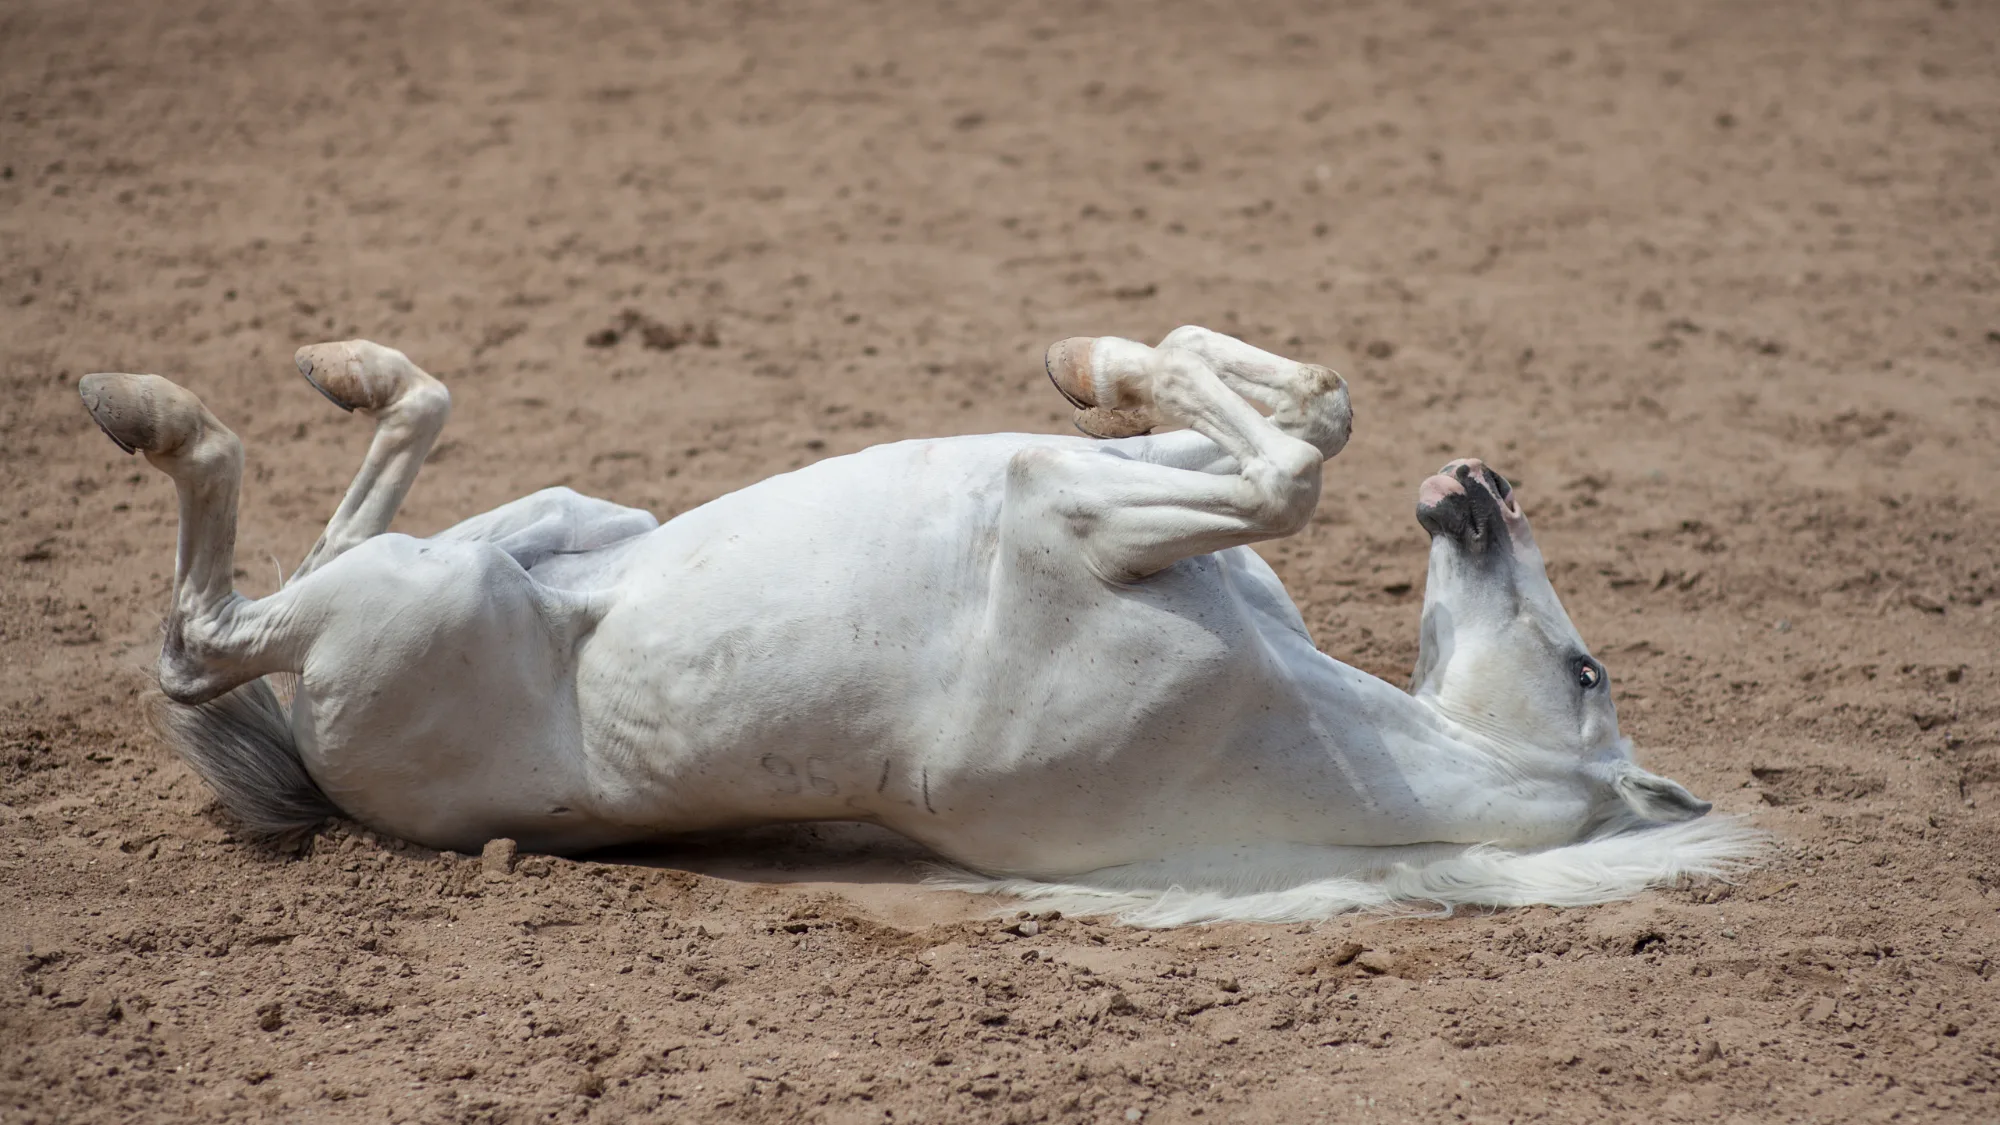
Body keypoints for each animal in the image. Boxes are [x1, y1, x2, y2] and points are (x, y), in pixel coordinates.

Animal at [77, 326, 1760, 925]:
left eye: (1588, 667)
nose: (1480, 490)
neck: (1318, 731)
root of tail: (319, 774)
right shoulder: (1117, 493)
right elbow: (1294, 416)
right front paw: (1101, 356)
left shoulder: (1075, 516)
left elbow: (1289, 464)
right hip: (543, 526)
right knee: (371, 481)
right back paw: (346, 366)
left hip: (415, 600)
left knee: (204, 636)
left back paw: (145, 404)